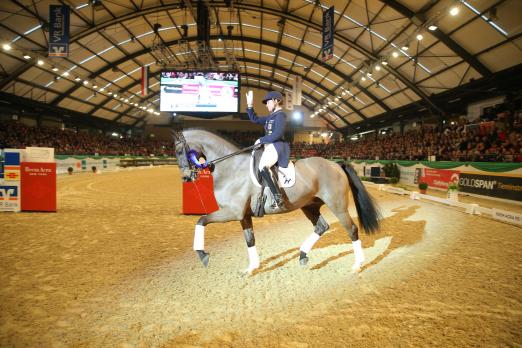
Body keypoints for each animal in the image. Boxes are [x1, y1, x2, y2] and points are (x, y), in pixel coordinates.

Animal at [173, 129, 380, 274]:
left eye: (179, 150)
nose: (186, 177)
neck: (231, 168)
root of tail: (335, 163)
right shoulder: (243, 215)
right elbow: (250, 239)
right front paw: (251, 268)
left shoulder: (233, 212)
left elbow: (201, 220)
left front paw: (202, 255)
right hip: (309, 206)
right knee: (322, 227)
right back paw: (303, 255)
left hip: (337, 205)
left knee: (351, 229)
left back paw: (357, 265)